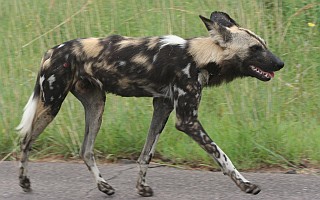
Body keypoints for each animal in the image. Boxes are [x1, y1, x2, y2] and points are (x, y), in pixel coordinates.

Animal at [16, 11, 284, 197]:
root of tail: (51, 50)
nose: (281, 63)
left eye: (264, 44)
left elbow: (146, 154)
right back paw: (24, 183)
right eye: (255, 48)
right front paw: (246, 185)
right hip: (52, 104)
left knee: (86, 150)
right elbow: (222, 156)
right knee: (25, 141)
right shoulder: (187, 121)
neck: (199, 57)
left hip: (96, 105)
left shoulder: (162, 107)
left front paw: (142, 187)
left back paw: (104, 186)